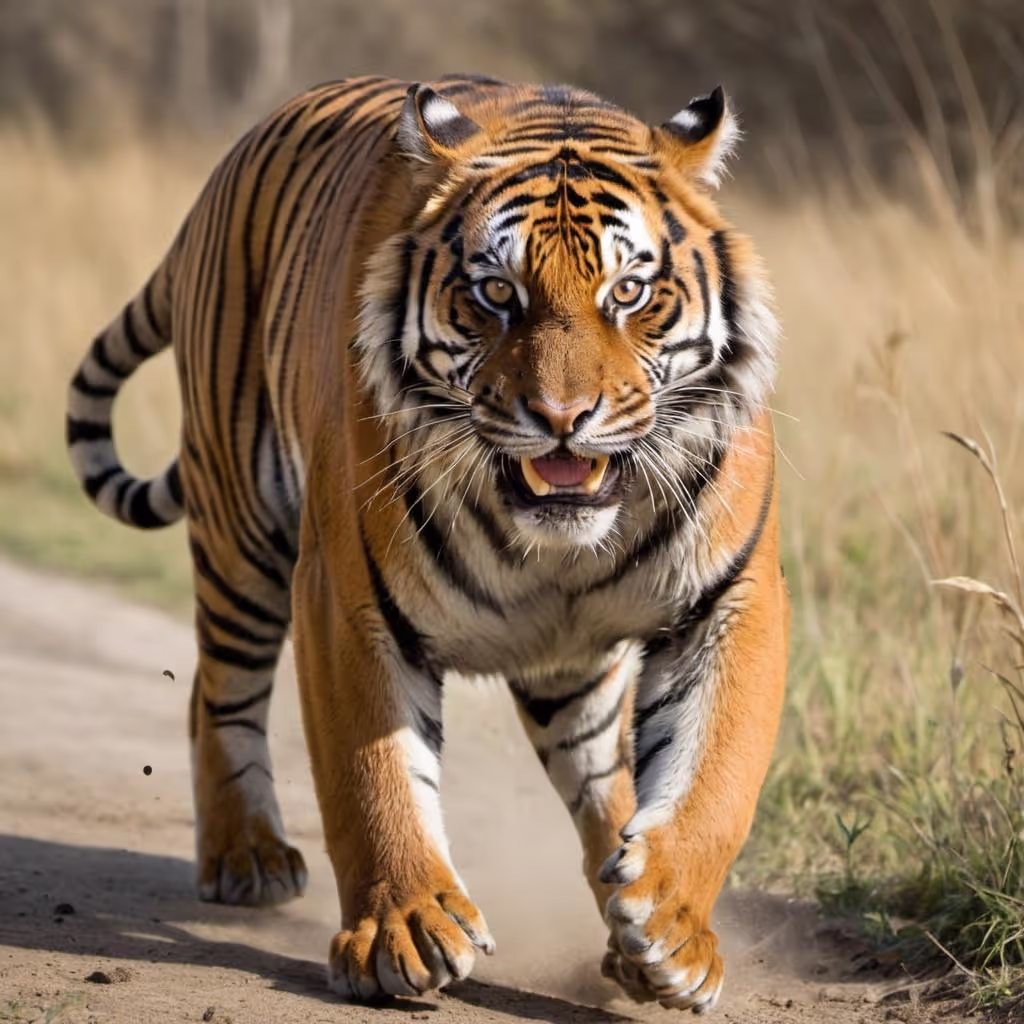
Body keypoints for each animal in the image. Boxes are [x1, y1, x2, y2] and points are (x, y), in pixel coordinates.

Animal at [65, 74, 789, 1013]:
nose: (562, 417)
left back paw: (619, 896)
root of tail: (219, 180)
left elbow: (715, 773)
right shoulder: (347, 599)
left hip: (566, 663)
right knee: (215, 691)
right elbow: (372, 775)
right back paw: (247, 857)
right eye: (496, 294)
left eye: (629, 293)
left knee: (603, 774)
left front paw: (669, 924)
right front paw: (402, 933)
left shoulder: (733, 598)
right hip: (240, 530)